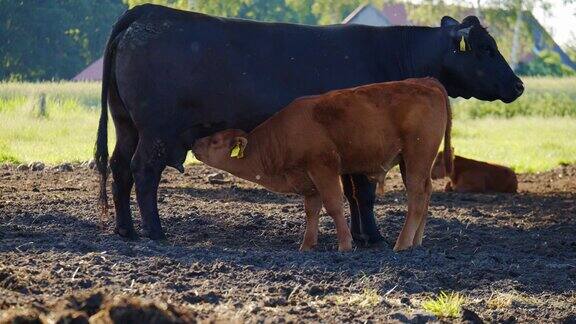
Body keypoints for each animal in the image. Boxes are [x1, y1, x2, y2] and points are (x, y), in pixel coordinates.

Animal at [191, 78, 452, 253]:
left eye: (215, 141)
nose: (194, 144)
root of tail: (426, 81)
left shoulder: (323, 168)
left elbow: (334, 205)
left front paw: (344, 245)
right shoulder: (307, 179)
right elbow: (311, 210)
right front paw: (307, 245)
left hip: (417, 156)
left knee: (416, 197)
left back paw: (402, 243)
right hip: (412, 162)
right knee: (426, 194)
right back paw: (416, 241)